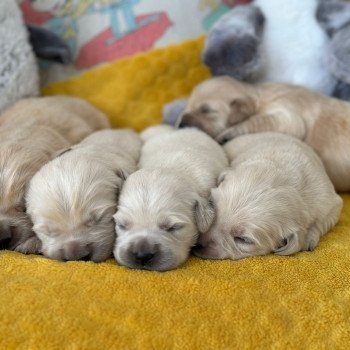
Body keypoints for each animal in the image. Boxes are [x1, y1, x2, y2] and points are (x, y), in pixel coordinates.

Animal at [179, 76, 350, 191]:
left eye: (206, 110)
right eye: (188, 107)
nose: (181, 124)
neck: (258, 97)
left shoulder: (288, 115)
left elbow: (261, 121)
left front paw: (228, 133)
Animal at [191, 133, 342, 262]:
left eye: (244, 239)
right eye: (211, 204)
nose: (198, 244)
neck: (287, 179)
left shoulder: (330, 203)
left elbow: (322, 221)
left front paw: (309, 238)